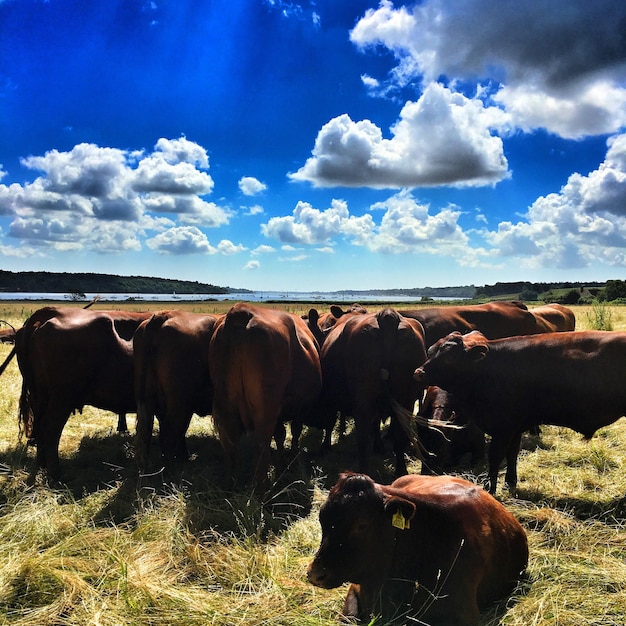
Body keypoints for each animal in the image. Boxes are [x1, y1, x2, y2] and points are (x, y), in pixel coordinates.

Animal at [314, 306, 426, 472]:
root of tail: (387, 315)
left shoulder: (330, 397)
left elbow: (329, 423)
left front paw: (325, 447)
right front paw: (379, 446)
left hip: (363, 399)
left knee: (363, 439)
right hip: (406, 399)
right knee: (399, 436)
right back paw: (400, 470)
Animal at [414, 330, 626, 494]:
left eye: (450, 356)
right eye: (430, 351)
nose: (418, 372)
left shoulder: (503, 428)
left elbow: (496, 457)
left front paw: (490, 488)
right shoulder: (515, 427)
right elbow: (512, 454)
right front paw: (510, 483)